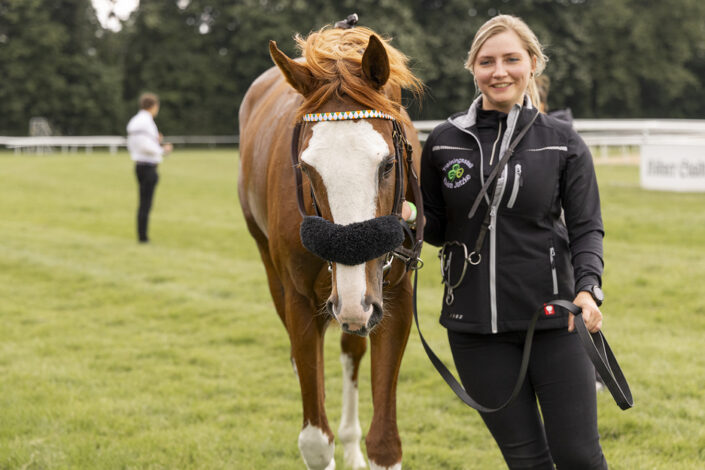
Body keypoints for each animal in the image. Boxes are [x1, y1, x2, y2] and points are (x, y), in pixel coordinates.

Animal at [238, 23, 423, 470]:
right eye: (306, 169)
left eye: (388, 164)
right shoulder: (304, 300)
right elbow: (315, 441)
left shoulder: (392, 298)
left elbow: (385, 442)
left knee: (352, 349)